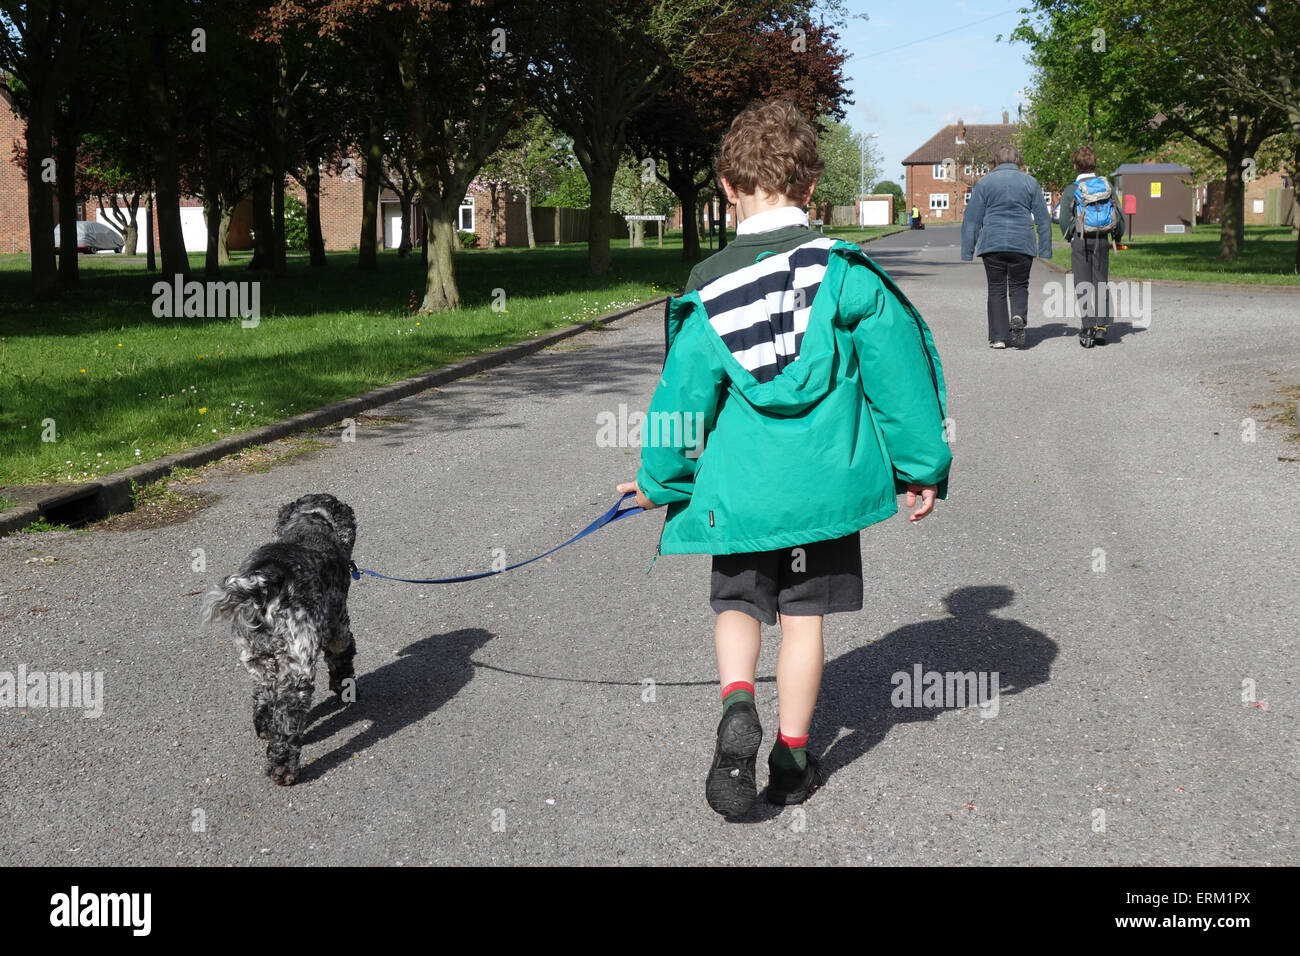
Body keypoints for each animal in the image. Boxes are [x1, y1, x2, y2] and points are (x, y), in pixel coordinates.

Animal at [200, 494, 358, 785]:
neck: (309, 522)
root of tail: (264, 582)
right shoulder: (338, 625)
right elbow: (342, 657)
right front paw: (345, 688)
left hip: (256, 656)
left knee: (263, 695)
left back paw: (264, 727)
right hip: (298, 665)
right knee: (288, 717)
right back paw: (284, 768)